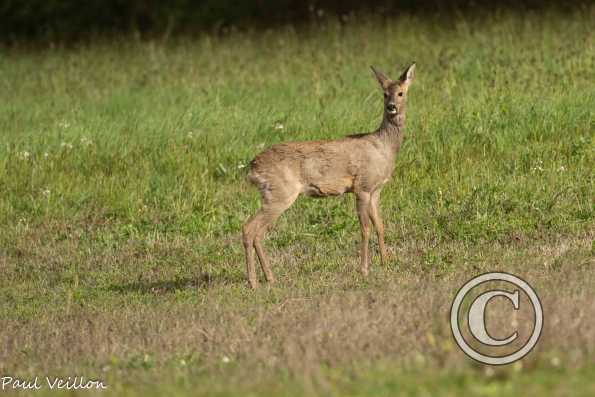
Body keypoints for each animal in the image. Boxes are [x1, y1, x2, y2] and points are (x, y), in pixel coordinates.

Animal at [241, 62, 414, 288]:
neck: (383, 147)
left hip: (273, 195)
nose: (391, 106)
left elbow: (380, 225)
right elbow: (365, 228)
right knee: (249, 229)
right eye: (384, 93)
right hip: (279, 193)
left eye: (401, 92)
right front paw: (364, 270)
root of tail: (252, 167)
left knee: (257, 232)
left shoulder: (376, 190)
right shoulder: (362, 187)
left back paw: (269, 277)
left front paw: (386, 262)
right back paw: (254, 282)